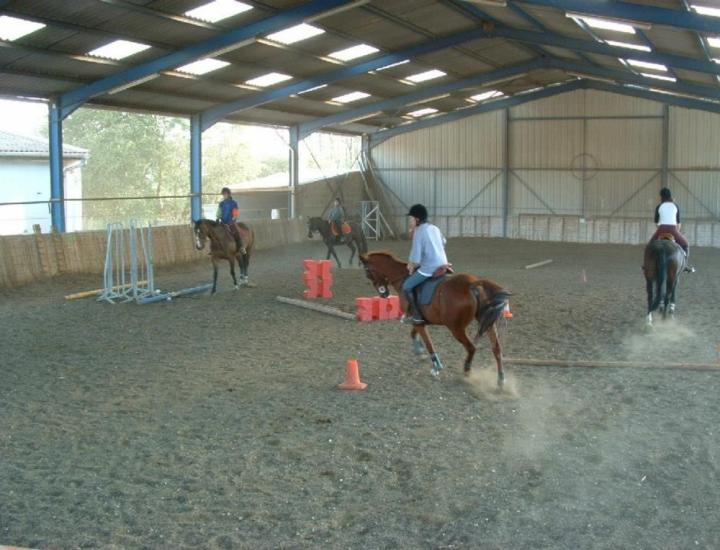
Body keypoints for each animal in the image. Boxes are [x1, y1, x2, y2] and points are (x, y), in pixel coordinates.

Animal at [360, 252, 512, 386]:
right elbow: (413, 333)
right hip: (487, 322)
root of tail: (472, 284)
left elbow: (428, 343)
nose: (383, 294)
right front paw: (418, 350)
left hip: (456, 328)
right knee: (496, 349)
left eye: (368, 272)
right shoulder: (419, 320)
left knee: (471, 348)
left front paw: (436, 366)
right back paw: (501, 380)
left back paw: (467, 370)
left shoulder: (419, 322)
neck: (403, 278)